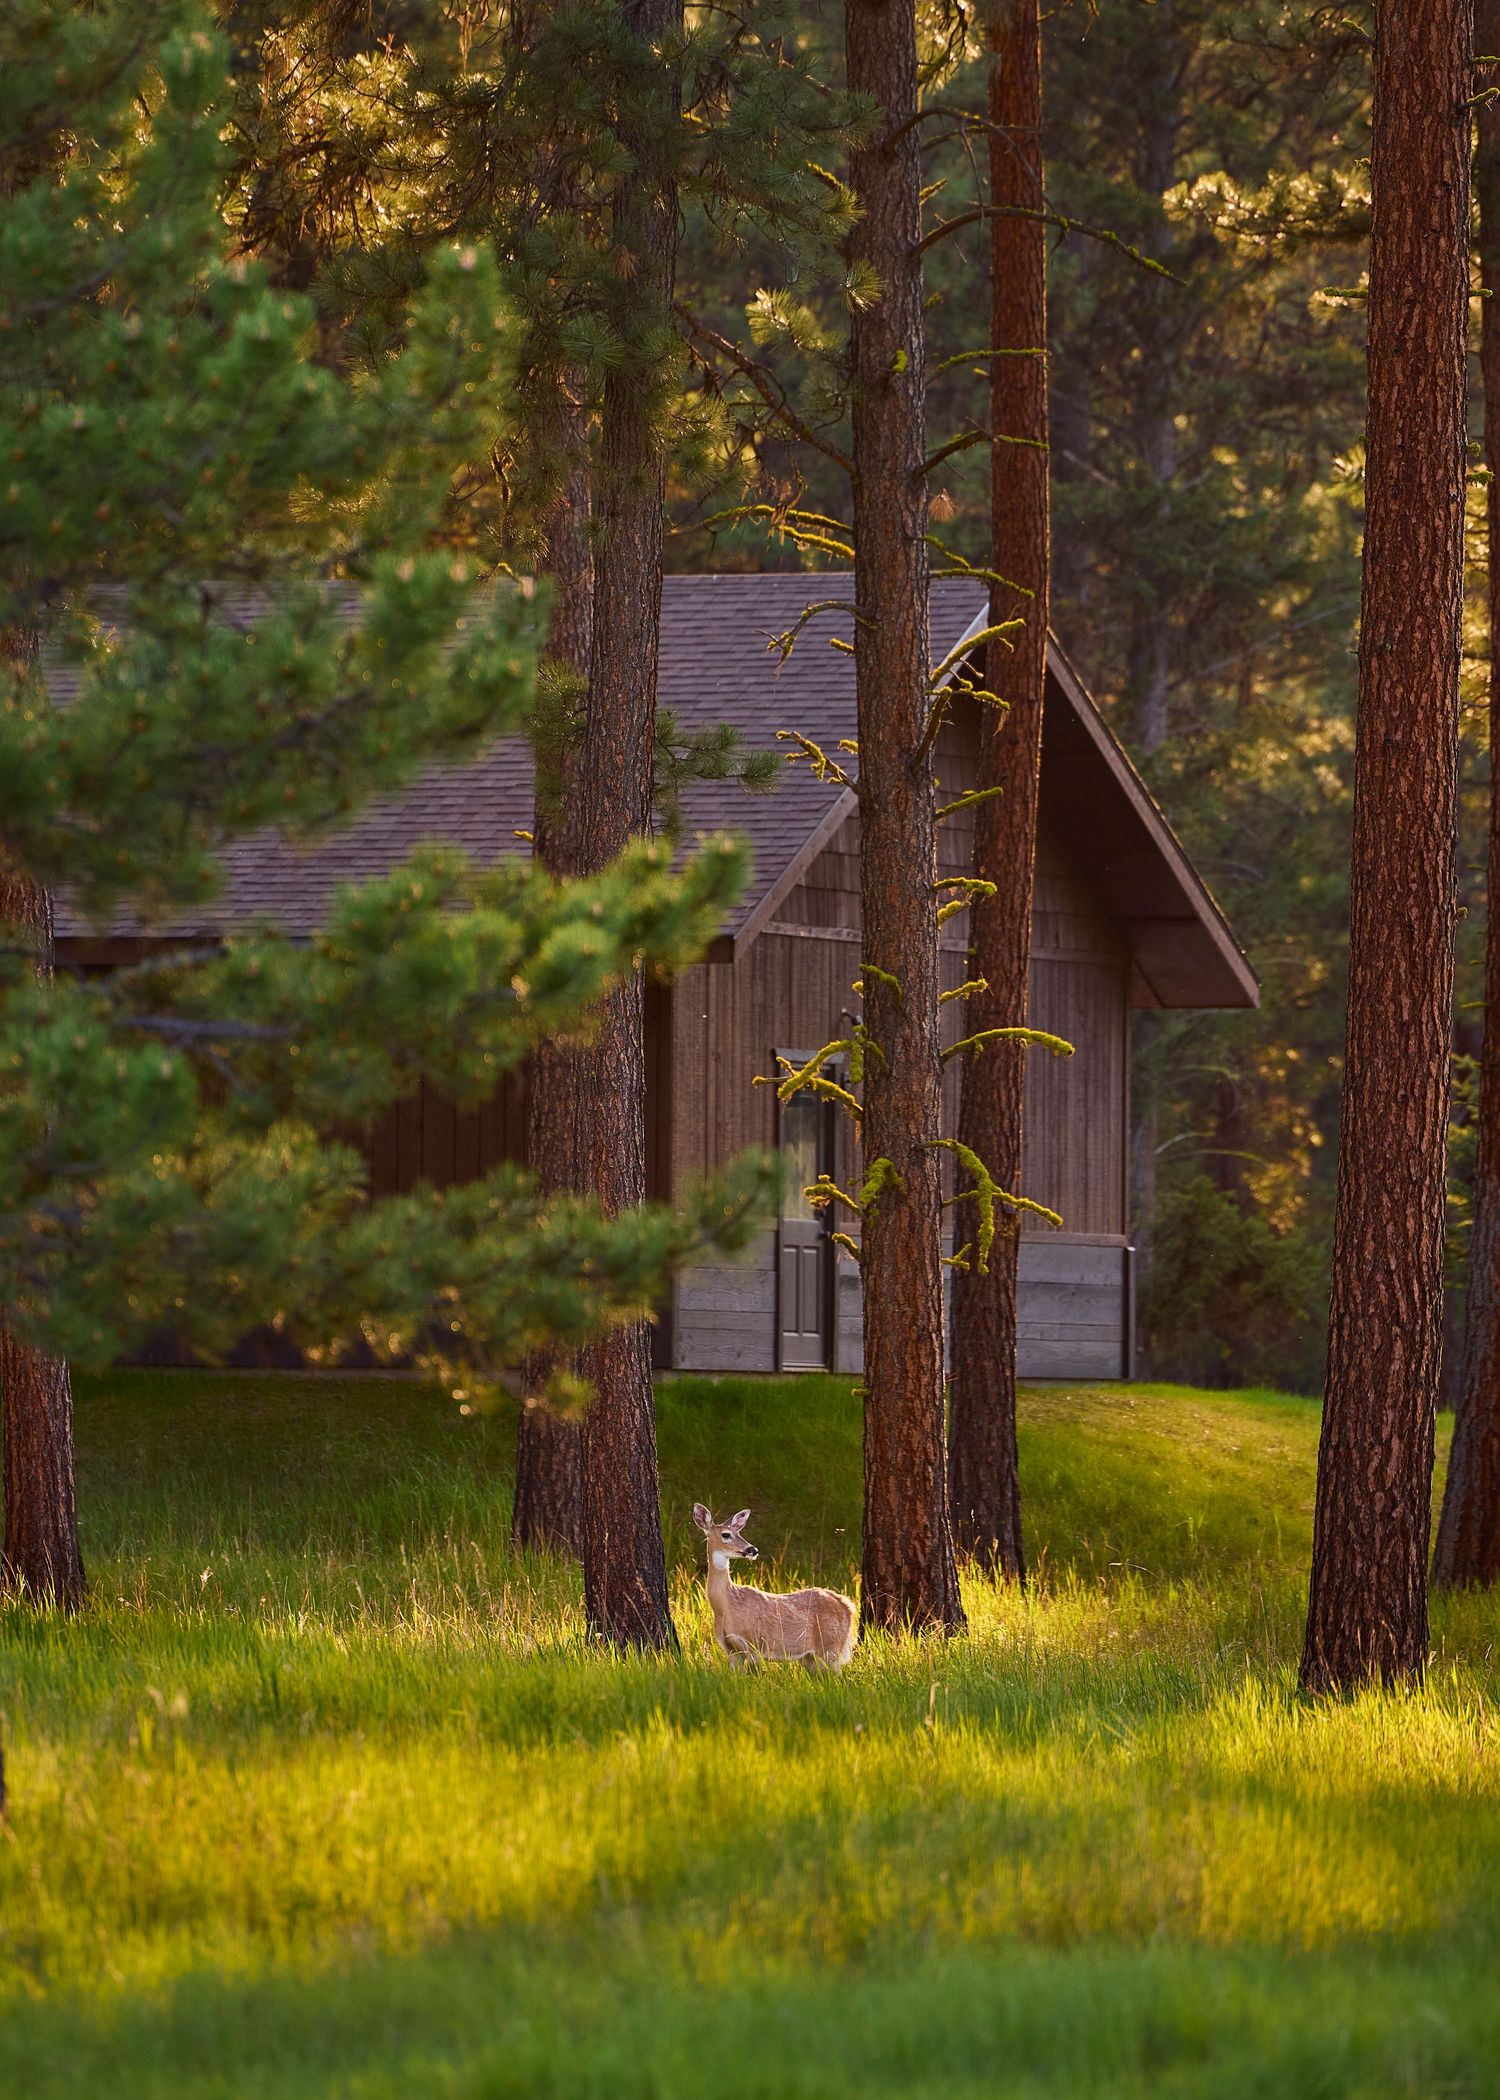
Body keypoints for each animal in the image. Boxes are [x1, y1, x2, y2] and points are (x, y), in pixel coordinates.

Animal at [692, 1504, 858, 1669]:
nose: (753, 1550)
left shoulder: (756, 1644)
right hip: (813, 1657)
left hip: (830, 1647)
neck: (725, 1606)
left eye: (739, 1533)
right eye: (726, 1535)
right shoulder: (731, 1650)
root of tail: (847, 1606)